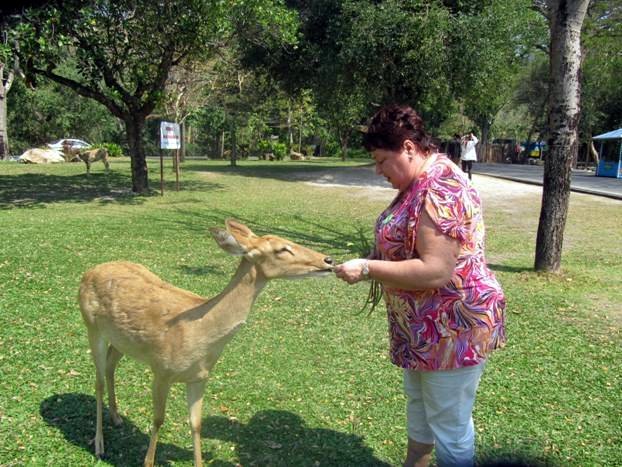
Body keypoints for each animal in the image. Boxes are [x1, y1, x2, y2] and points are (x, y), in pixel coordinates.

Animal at [78, 220, 336, 467]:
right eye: (282, 249)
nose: (329, 260)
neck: (202, 336)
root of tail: (88, 272)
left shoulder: (200, 377)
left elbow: (196, 424)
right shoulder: (161, 369)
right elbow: (158, 419)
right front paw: (147, 462)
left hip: (121, 341)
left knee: (110, 365)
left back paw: (117, 418)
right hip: (91, 325)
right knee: (98, 381)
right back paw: (99, 444)